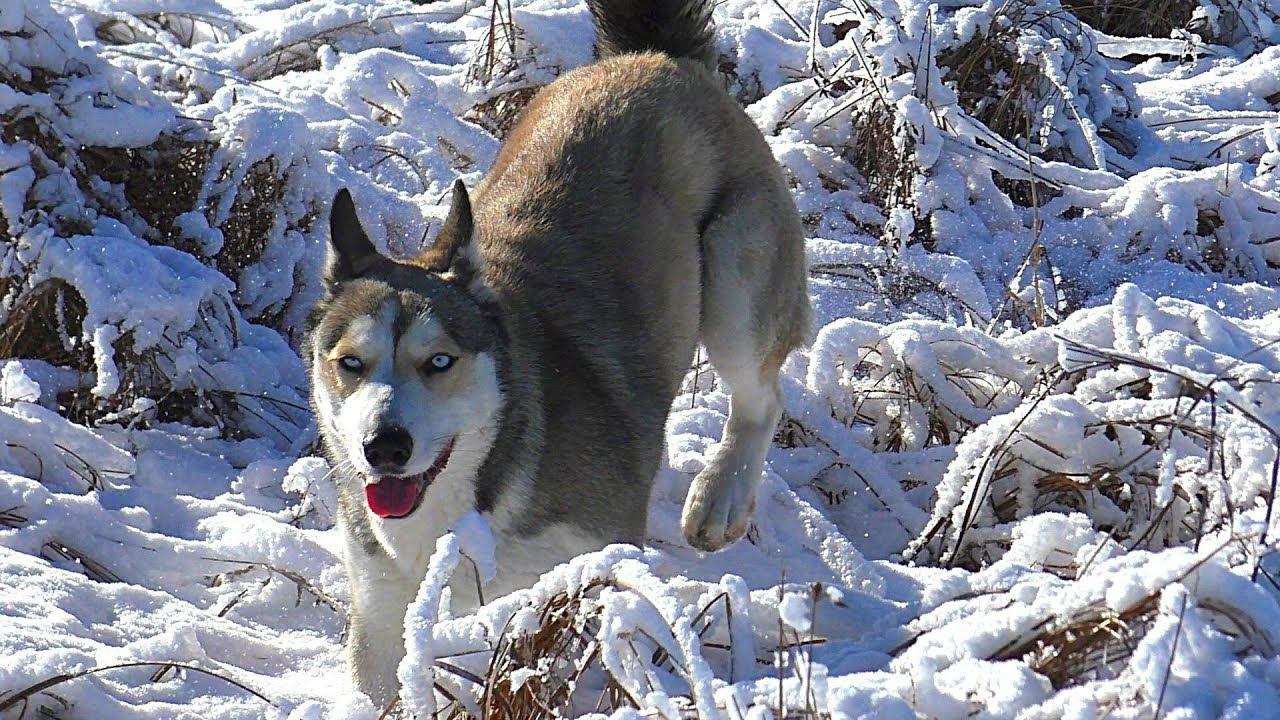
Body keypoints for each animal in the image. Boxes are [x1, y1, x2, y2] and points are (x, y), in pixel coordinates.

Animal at [306, 0, 811, 706]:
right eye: (350, 364)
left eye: (440, 362)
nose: (385, 447)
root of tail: (652, 59)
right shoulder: (381, 608)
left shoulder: (593, 561)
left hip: (737, 278)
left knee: (762, 395)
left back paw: (721, 497)